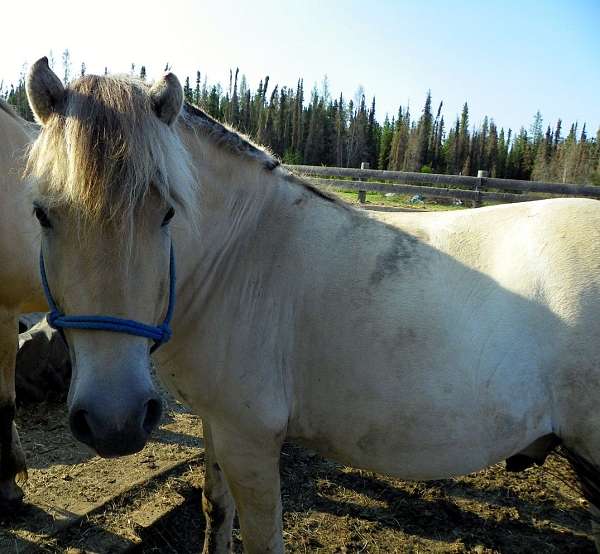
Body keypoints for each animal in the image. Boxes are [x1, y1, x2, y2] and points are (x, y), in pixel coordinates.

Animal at [25, 58, 600, 548]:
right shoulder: (217, 425)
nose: (114, 421)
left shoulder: (251, 441)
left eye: (167, 212)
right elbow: (215, 510)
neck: (241, 254)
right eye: (42, 214)